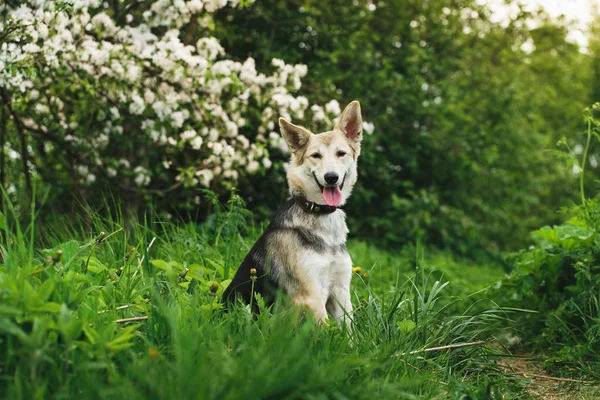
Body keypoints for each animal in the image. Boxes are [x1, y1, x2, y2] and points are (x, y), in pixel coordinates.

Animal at [220, 100, 360, 324]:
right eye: (316, 156)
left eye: (341, 153)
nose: (331, 177)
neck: (319, 213)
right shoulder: (312, 295)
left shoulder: (341, 292)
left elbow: (349, 330)